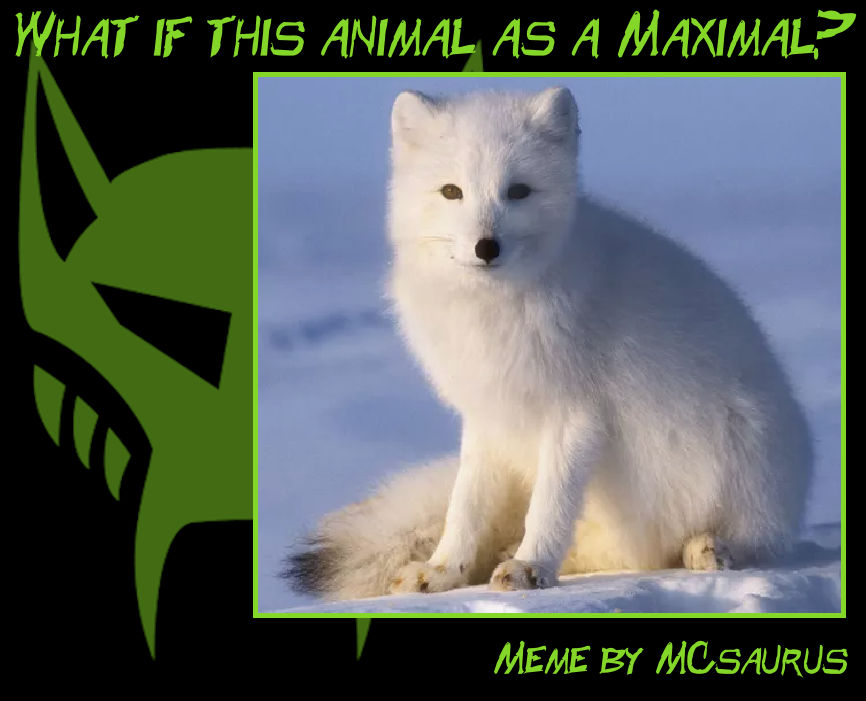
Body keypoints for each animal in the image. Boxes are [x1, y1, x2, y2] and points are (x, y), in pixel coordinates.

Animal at [285, 86, 813, 601]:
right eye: (452, 191)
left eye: (518, 191)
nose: (486, 247)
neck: (494, 312)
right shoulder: (488, 416)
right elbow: (465, 505)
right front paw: (444, 572)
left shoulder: (575, 414)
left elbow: (551, 504)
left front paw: (530, 567)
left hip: (747, 451)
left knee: (741, 542)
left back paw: (707, 548)